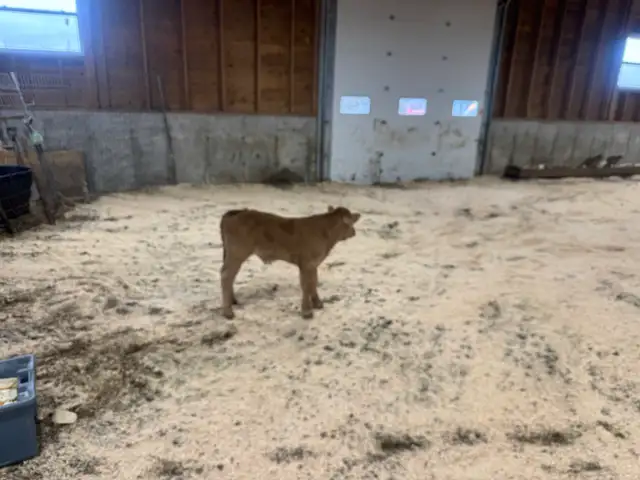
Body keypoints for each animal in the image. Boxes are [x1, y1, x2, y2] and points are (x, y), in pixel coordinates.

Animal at [219, 205, 361, 319]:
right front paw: (307, 312)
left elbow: (313, 282)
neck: (325, 232)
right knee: (226, 275)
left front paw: (318, 304)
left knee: (231, 276)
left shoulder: (312, 264)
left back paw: (233, 301)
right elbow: (306, 285)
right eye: (351, 222)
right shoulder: (307, 263)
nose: (354, 232)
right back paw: (228, 312)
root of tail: (236, 212)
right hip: (237, 253)